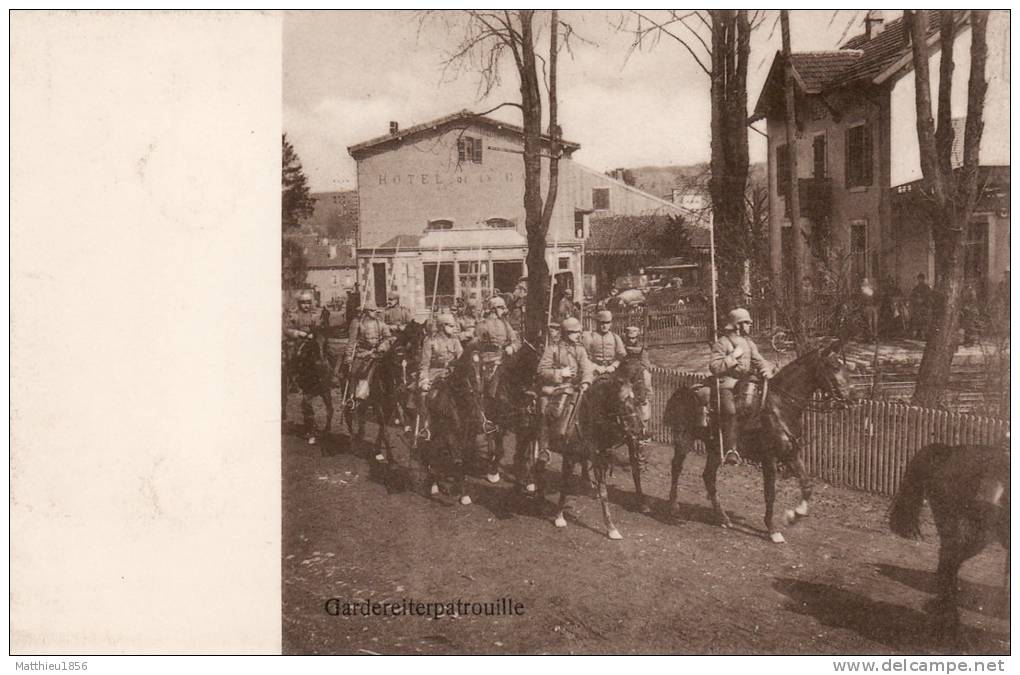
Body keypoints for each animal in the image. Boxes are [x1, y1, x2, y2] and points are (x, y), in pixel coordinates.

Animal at [550, 373, 644, 542]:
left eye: (636, 401)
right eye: (622, 401)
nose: (638, 429)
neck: (585, 417)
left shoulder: (599, 459)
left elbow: (604, 493)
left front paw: (611, 528)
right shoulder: (569, 456)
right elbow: (565, 485)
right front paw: (559, 517)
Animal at [660, 338, 852, 546]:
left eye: (843, 367)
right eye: (833, 367)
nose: (850, 398)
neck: (780, 407)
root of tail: (685, 390)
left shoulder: (792, 454)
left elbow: (807, 486)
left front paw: (794, 515)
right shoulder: (769, 459)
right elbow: (770, 494)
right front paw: (773, 529)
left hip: (715, 449)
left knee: (708, 477)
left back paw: (722, 517)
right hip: (684, 440)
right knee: (676, 468)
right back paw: (673, 507)